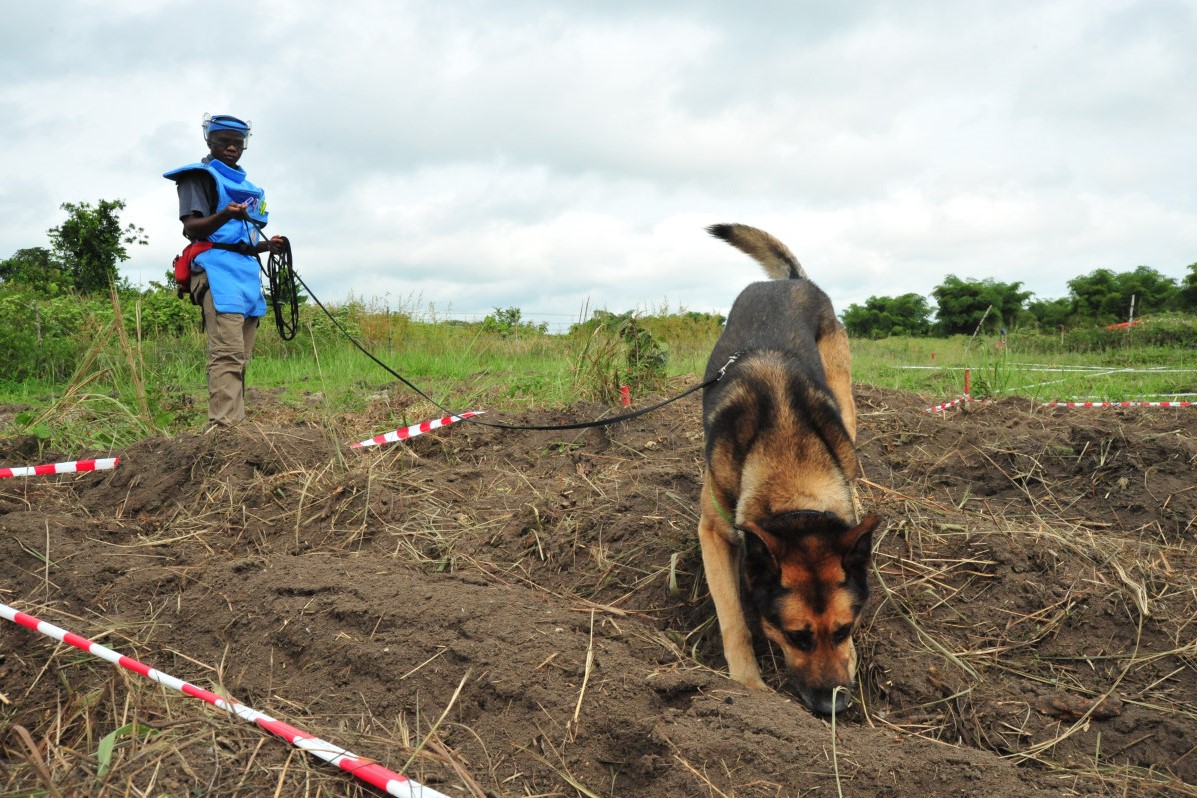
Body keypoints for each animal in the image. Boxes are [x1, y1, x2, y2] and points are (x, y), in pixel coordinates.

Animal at [699, 221, 885, 713]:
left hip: (844, 393)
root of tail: (791, 282)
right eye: (796, 637)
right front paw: (747, 686)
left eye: (844, 629)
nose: (835, 707)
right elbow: (733, 618)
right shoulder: (714, 532)